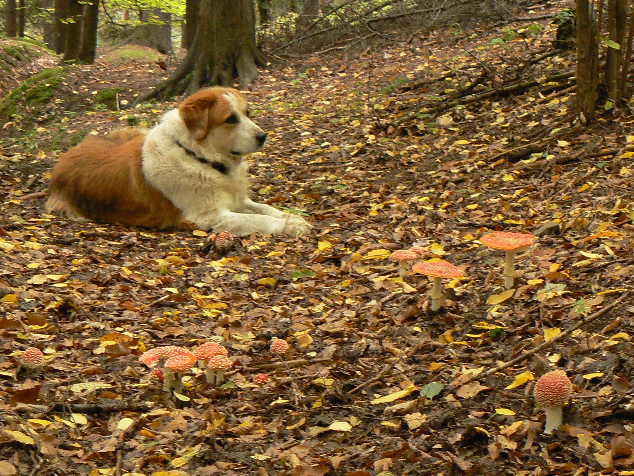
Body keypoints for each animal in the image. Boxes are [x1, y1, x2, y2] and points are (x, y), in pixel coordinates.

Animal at [45, 87, 312, 236]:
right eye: (230, 119)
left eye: (247, 114)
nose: (263, 136)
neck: (198, 156)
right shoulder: (209, 217)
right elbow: (257, 219)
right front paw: (290, 226)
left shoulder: (238, 200)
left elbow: (265, 209)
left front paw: (291, 217)